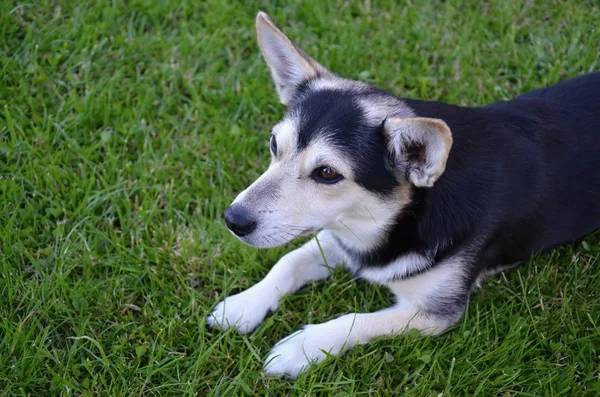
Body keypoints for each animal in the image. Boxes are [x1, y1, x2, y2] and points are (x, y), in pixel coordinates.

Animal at [207, 11, 600, 378]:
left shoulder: (434, 312)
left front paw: (301, 347)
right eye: (275, 145)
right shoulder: (345, 235)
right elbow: (289, 261)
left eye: (327, 173)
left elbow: (357, 319)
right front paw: (244, 305)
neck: (404, 214)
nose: (233, 220)